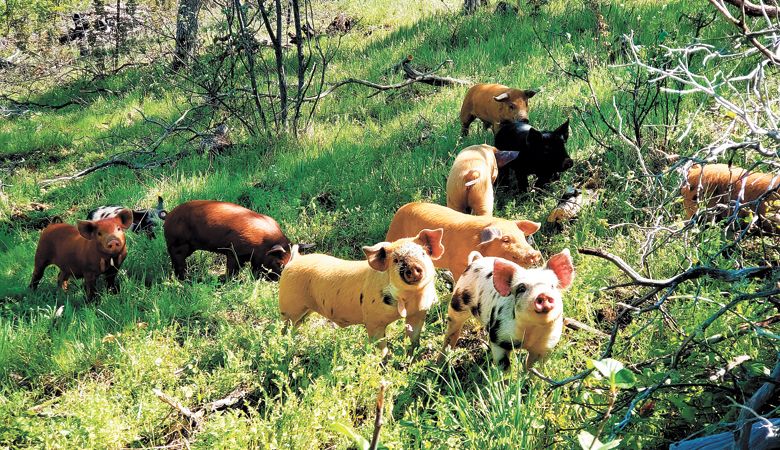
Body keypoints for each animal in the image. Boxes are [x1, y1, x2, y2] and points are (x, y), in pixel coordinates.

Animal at [165, 201, 296, 282]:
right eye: (279, 263)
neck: (263, 242)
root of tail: (167, 217)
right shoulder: (234, 251)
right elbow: (233, 269)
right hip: (178, 245)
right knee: (178, 262)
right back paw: (187, 280)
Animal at [278, 229, 444, 356]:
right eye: (396, 260)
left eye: (423, 254)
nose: (413, 267)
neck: (409, 298)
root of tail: (294, 260)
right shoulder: (373, 320)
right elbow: (380, 345)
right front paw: (382, 361)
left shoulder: (419, 313)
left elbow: (413, 337)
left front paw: (412, 355)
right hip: (288, 306)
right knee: (285, 326)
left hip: (305, 310)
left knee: (297, 324)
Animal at [386, 203, 544, 284]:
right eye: (506, 239)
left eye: (522, 236)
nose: (535, 253)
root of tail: (401, 209)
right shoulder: (456, 264)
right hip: (394, 235)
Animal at [442, 250, 576, 370]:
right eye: (521, 289)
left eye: (553, 286)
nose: (543, 295)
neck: (531, 331)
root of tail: (479, 259)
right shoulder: (498, 337)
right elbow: (504, 367)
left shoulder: (546, 346)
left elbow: (533, 369)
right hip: (458, 300)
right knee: (452, 330)